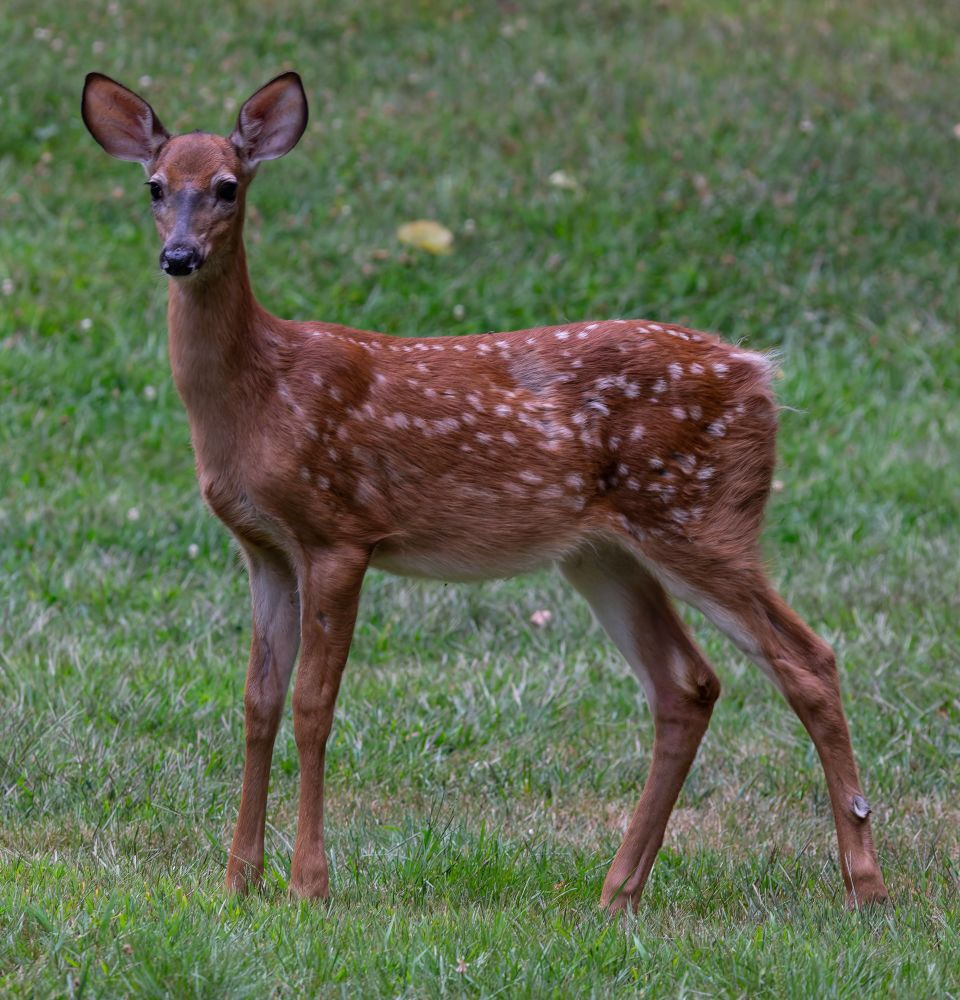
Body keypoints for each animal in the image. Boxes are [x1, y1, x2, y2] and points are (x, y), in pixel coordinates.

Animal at [80, 71, 889, 911]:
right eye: (154, 186)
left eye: (228, 186)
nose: (178, 255)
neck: (259, 396)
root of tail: (759, 374)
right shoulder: (263, 547)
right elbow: (256, 704)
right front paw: (238, 880)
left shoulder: (340, 530)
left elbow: (312, 706)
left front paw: (310, 885)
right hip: (605, 552)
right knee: (687, 684)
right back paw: (618, 892)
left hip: (699, 516)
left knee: (807, 659)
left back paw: (864, 884)